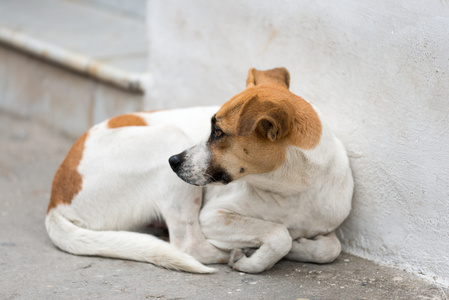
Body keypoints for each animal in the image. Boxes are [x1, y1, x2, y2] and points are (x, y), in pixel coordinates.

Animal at [169, 68, 354, 274]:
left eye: (218, 132)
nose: (173, 161)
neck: (292, 190)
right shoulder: (213, 216)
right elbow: (280, 234)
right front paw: (249, 261)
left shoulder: (328, 225)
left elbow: (331, 249)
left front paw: (297, 245)